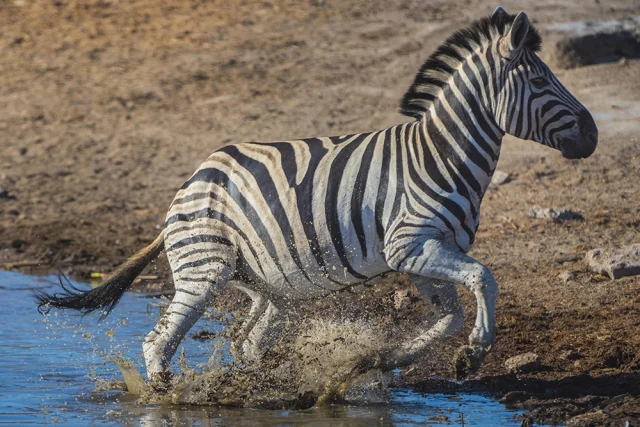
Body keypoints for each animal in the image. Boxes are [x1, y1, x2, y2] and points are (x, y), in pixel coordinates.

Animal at [36, 6, 596, 388]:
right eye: (541, 80)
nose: (592, 135)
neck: (441, 154)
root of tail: (192, 182)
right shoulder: (411, 245)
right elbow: (484, 279)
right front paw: (475, 352)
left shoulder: (424, 255)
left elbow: (450, 314)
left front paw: (385, 359)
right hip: (203, 269)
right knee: (158, 343)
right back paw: (167, 396)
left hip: (267, 284)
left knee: (245, 340)